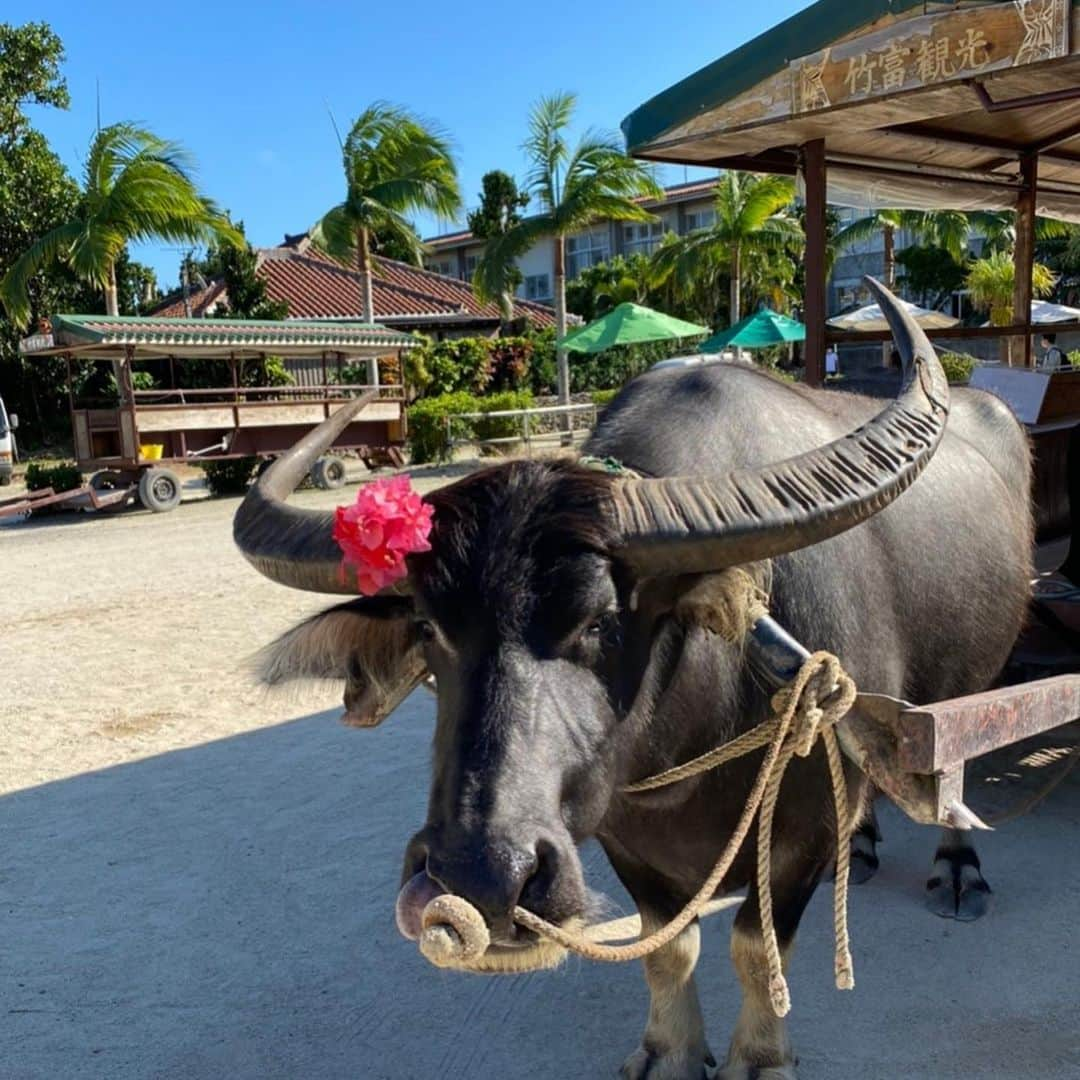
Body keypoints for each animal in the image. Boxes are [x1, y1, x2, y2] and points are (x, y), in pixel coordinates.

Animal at [234, 282, 1028, 1075]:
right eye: (429, 629)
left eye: (600, 619)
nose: (479, 878)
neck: (698, 727)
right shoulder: (623, 833)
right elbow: (667, 949)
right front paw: (670, 1051)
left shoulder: (799, 834)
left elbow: (755, 947)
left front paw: (759, 1056)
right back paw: (860, 851)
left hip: (970, 687)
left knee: (951, 775)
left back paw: (959, 869)